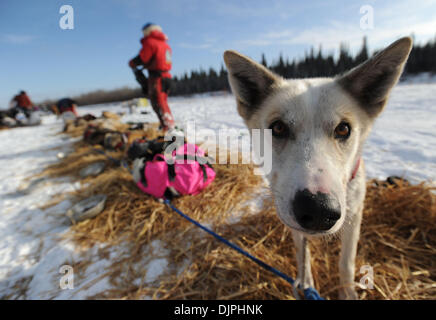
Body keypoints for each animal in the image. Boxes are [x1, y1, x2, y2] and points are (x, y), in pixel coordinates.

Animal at [225, 37, 412, 300]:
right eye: (279, 127)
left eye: (343, 129)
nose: (318, 209)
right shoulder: (291, 219)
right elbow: (302, 255)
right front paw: (306, 283)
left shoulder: (354, 216)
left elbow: (346, 263)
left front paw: (348, 293)